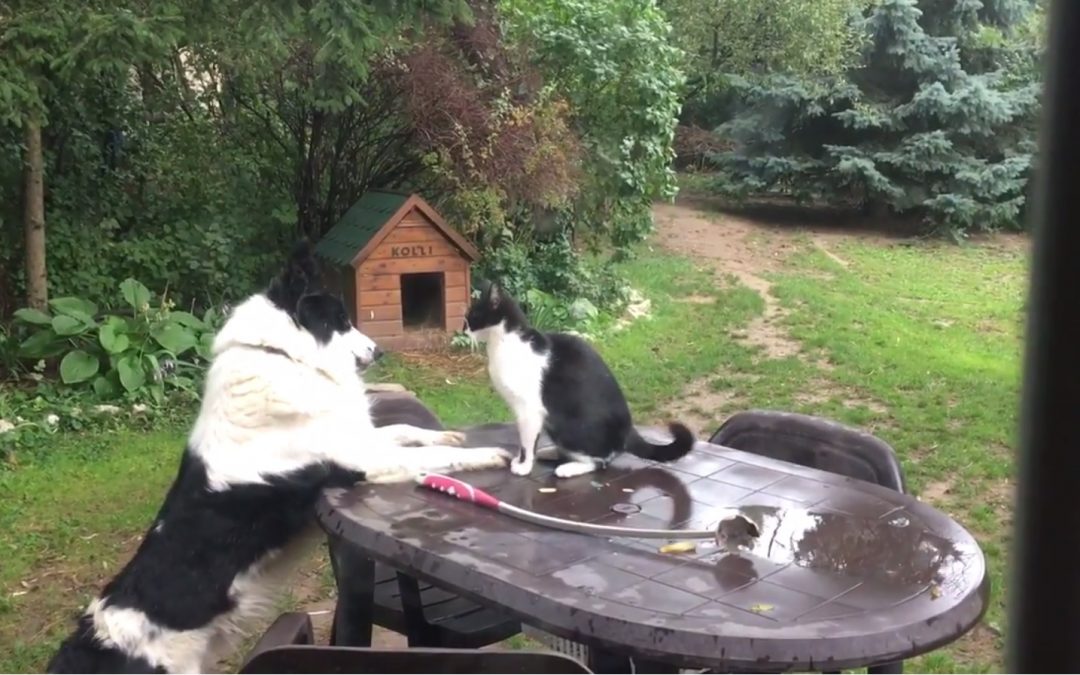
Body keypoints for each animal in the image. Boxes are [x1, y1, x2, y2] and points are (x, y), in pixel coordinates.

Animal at [46, 243, 509, 673]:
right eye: (341, 321)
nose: (379, 352)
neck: (280, 355)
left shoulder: (359, 438)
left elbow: (408, 432)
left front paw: (449, 434)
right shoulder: (360, 462)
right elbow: (431, 458)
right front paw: (485, 455)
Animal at [462, 280, 695, 477]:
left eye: (472, 316)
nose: (463, 330)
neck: (504, 343)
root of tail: (629, 430)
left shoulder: (529, 411)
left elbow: (526, 444)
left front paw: (523, 466)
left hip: (570, 426)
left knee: (599, 461)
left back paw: (567, 468)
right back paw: (552, 452)